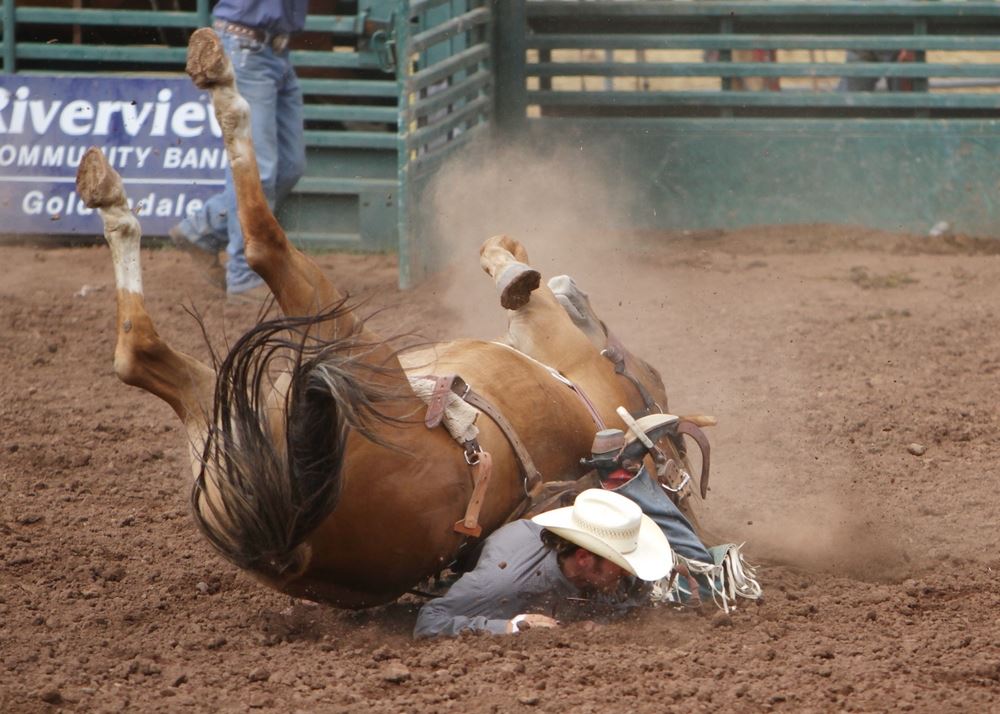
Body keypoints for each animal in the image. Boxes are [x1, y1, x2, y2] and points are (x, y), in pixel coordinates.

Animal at [74, 27, 711, 609]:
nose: (576, 291)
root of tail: (291, 544)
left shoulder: (542, 324)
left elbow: (505, 263)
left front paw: (515, 271)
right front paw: (521, 267)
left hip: (348, 359)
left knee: (255, 252)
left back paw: (204, 92)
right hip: (231, 428)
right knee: (140, 354)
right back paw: (111, 191)